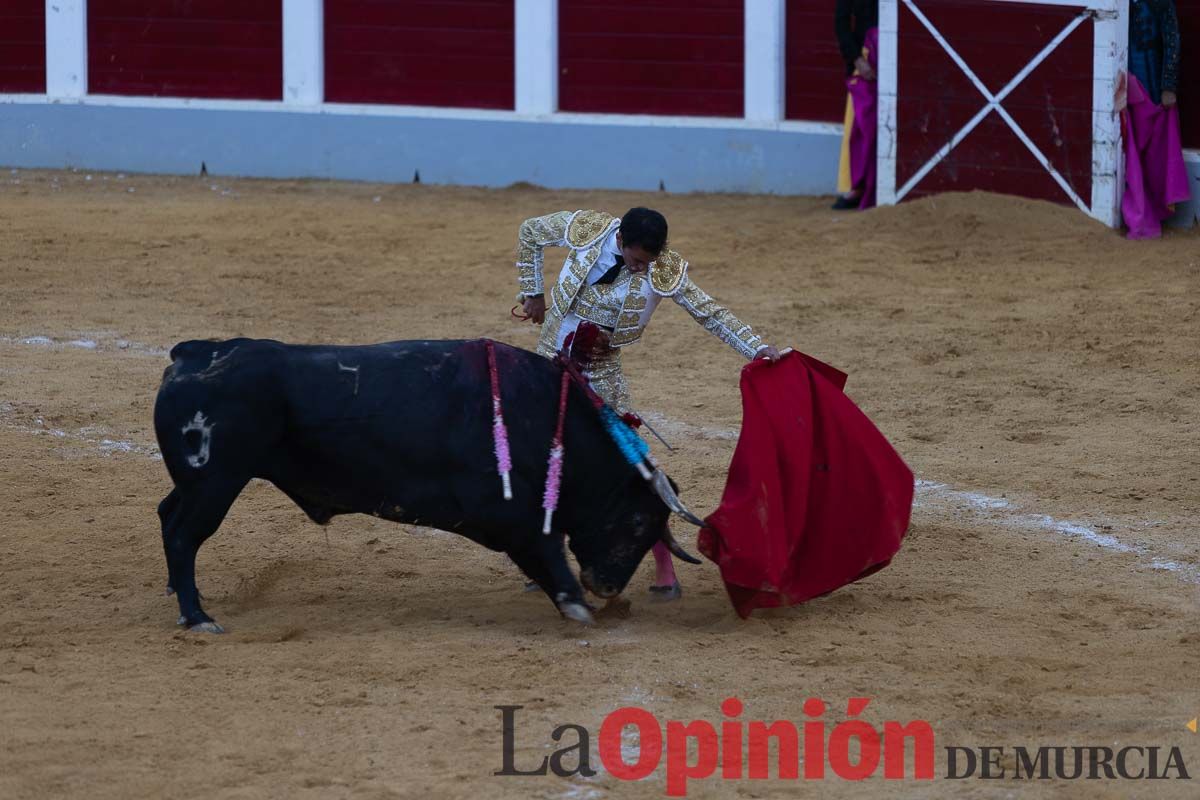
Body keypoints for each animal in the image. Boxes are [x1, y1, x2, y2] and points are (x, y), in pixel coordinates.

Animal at [156, 335, 705, 633]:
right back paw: (197, 616)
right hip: (216, 483)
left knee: (167, 515)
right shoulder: (509, 514)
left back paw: (178, 594)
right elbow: (548, 552)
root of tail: (192, 354)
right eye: (638, 520)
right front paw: (578, 606)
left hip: (200, 484)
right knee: (184, 535)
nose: (608, 586)